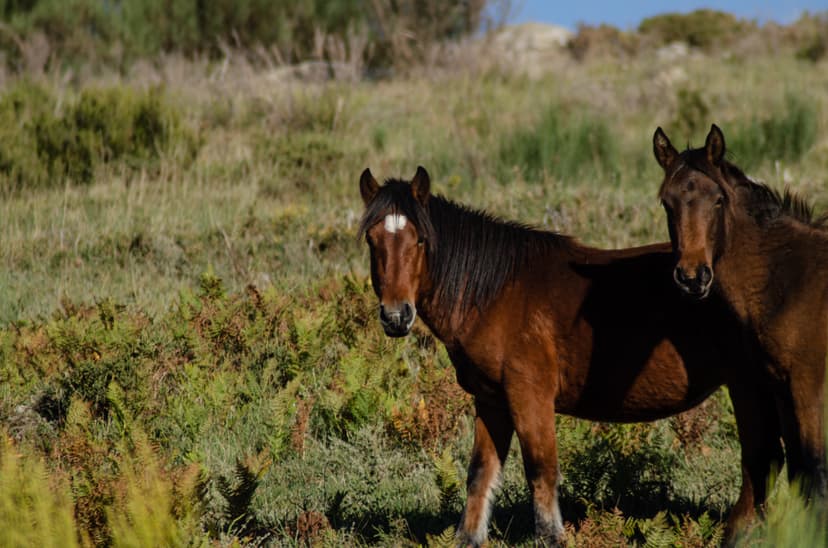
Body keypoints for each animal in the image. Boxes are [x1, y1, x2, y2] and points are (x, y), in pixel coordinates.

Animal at [358, 166, 776, 546]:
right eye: (372, 240)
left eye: (420, 241)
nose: (396, 316)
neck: (495, 293)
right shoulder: (492, 400)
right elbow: (480, 473)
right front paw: (468, 536)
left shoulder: (530, 397)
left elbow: (541, 470)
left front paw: (551, 537)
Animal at [653, 124, 828, 514]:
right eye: (666, 202)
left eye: (718, 200)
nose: (692, 277)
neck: (790, 279)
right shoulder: (780, 388)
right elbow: (798, 469)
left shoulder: (808, 388)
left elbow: (814, 470)